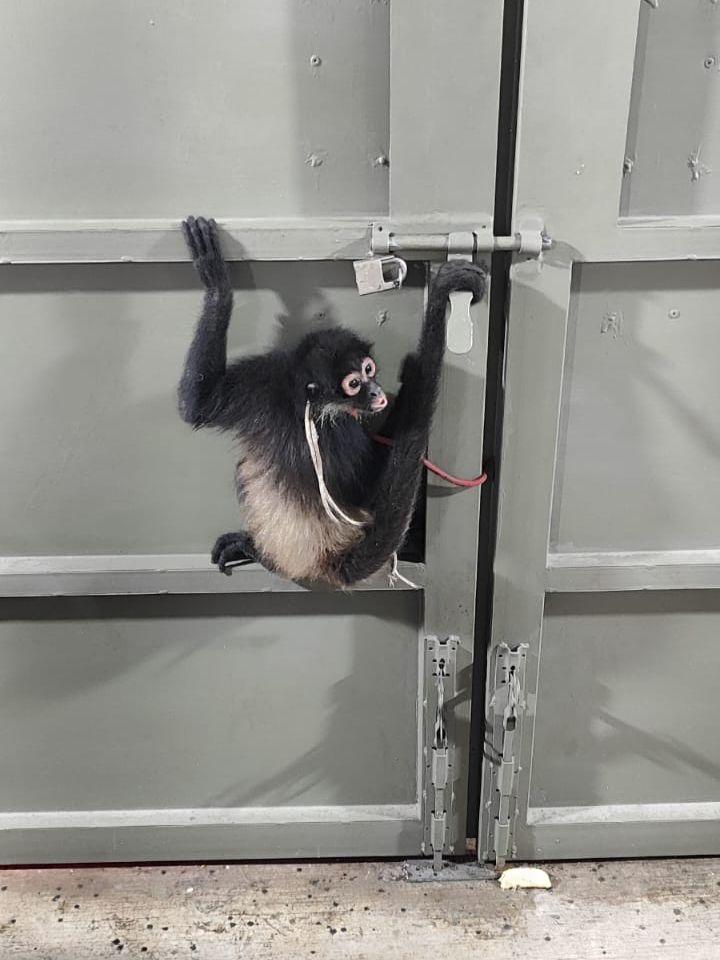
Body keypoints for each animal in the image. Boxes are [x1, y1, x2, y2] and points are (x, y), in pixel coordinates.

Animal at [178, 216, 485, 587]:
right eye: (354, 384)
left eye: (369, 370)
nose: (377, 392)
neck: (309, 398)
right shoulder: (333, 419)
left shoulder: (266, 379)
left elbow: (197, 403)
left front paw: (216, 284)